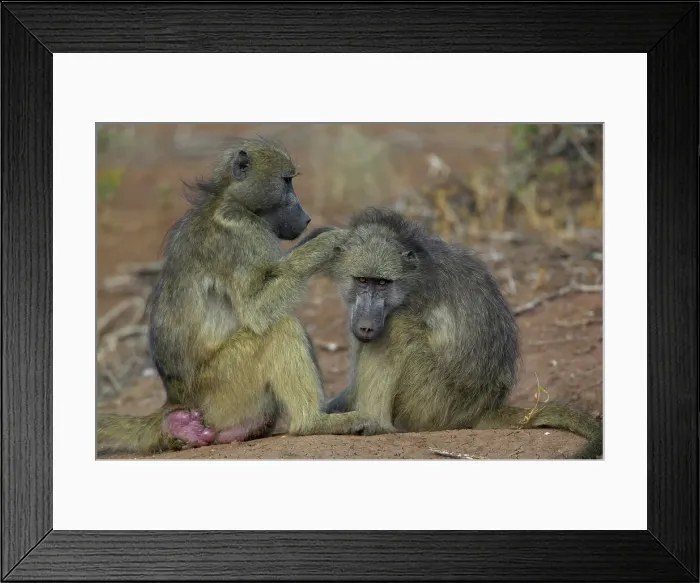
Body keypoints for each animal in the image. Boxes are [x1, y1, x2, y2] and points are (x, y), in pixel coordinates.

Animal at [97, 137, 379, 455]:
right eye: (287, 181)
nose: (306, 218)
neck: (228, 199)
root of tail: (174, 403)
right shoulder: (244, 234)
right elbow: (255, 310)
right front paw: (330, 241)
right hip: (222, 390)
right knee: (280, 327)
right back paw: (313, 422)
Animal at [320, 207, 603, 459]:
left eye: (382, 283)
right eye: (362, 281)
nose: (366, 326)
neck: (413, 271)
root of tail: (483, 408)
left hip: (434, 401)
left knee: (397, 327)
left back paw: (375, 423)